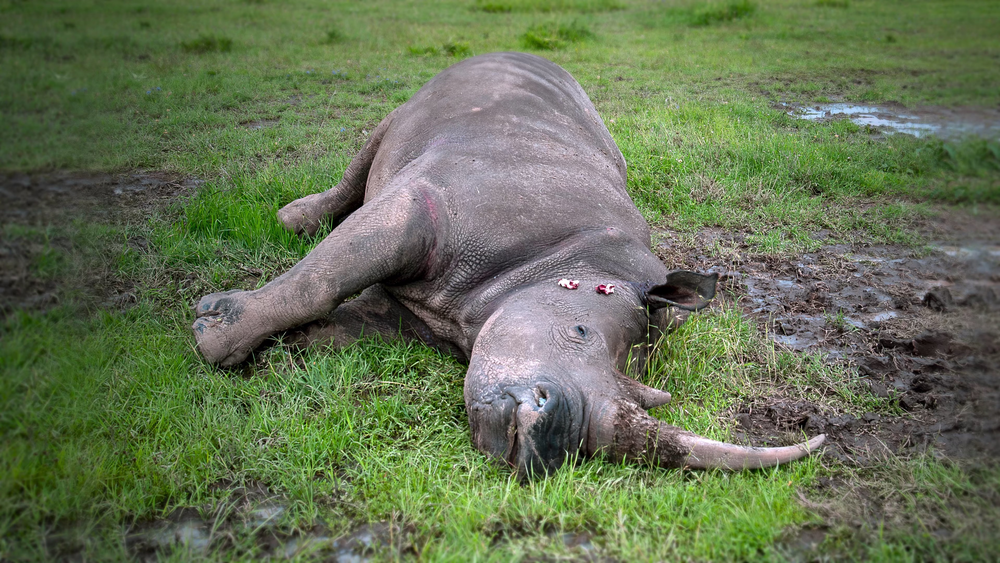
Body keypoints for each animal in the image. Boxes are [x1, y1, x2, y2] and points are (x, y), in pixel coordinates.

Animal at [192, 52, 824, 478]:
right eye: (577, 330)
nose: (554, 443)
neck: (574, 263)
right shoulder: (434, 205)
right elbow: (323, 278)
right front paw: (213, 338)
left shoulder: (429, 313)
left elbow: (344, 315)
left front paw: (280, 352)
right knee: (373, 146)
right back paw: (292, 221)